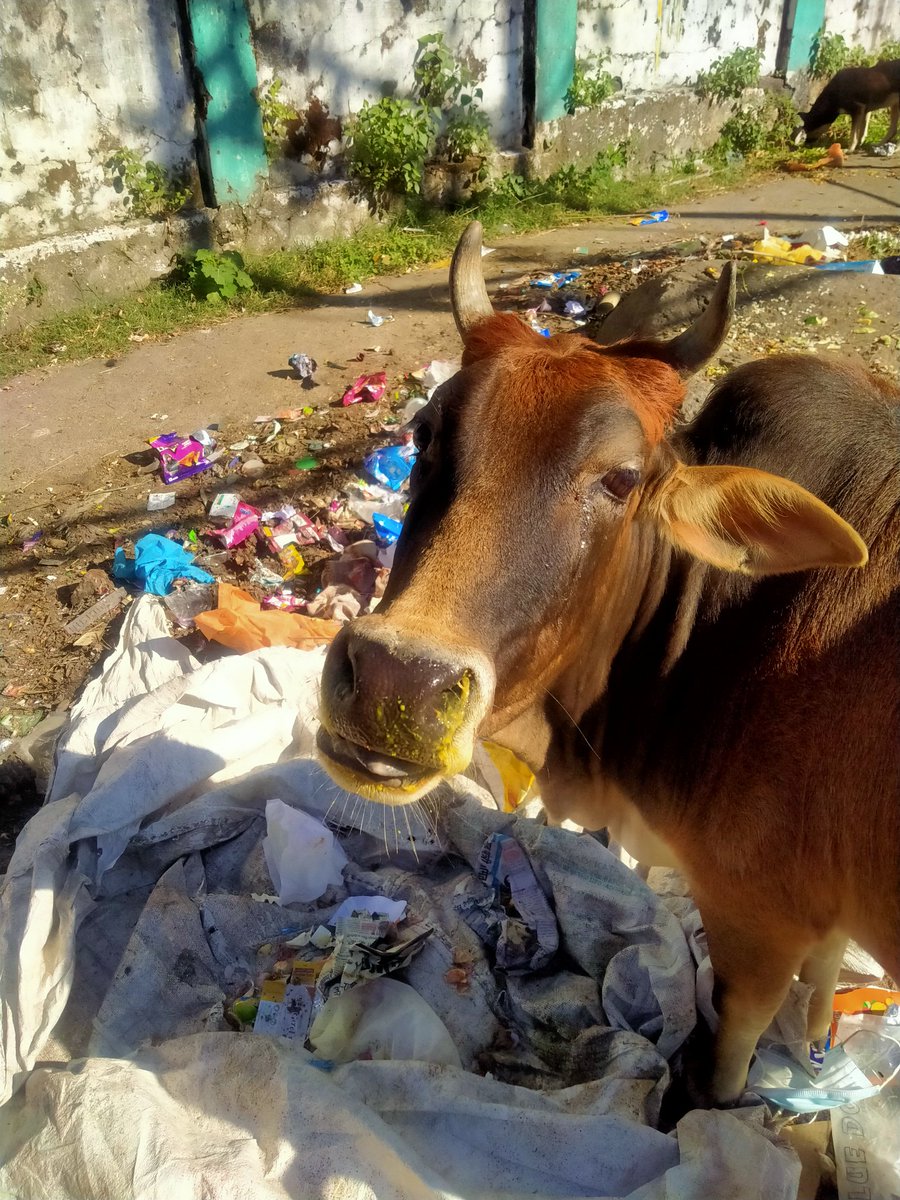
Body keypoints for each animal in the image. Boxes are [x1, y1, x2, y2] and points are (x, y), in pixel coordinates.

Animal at [317, 221, 900, 1104]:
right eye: (424, 435)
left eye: (621, 480)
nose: (397, 682)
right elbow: (822, 971)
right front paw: (813, 1043)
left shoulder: (757, 920)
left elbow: (727, 1053)